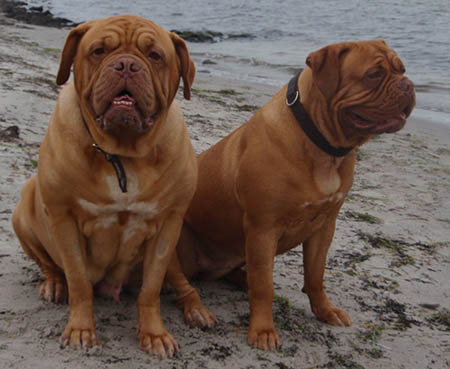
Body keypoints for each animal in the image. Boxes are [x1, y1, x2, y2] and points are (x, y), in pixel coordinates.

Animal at [10, 15, 214, 358]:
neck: (122, 155)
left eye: (154, 55)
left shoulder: (168, 226)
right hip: (23, 211)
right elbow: (79, 281)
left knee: (181, 282)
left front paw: (154, 334)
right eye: (99, 51)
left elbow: (150, 289)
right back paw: (54, 284)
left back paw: (196, 309)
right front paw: (81, 330)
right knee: (50, 265)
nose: (126, 64)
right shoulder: (64, 220)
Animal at [175, 39, 414, 348]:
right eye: (374, 74)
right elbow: (263, 286)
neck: (323, 147)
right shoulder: (262, 229)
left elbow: (315, 275)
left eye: (402, 70)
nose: (407, 84)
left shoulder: (324, 227)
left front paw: (325, 310)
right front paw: (263, 330)